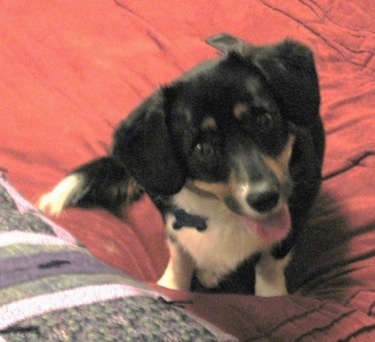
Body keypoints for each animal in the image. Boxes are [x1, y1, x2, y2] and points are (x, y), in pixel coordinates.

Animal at [39, 34, 326, 296]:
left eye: (264, 120)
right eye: (202, 149)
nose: (265, 198)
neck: (222, 211)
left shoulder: (296, 214)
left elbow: (270, 262)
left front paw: (271, 295)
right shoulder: (172, 223)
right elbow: (180, 256)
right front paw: (172, 287)